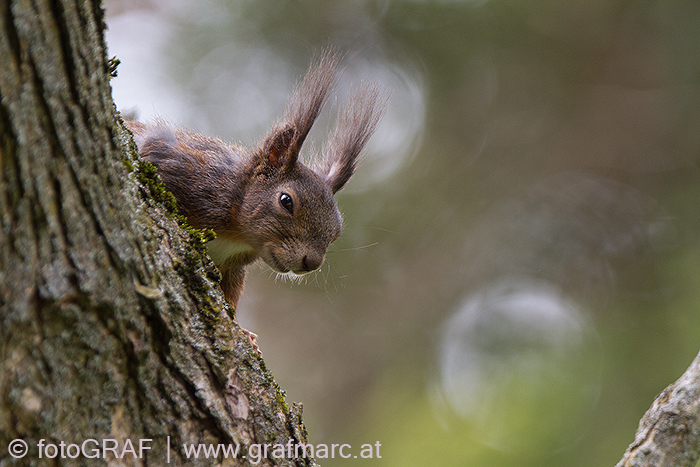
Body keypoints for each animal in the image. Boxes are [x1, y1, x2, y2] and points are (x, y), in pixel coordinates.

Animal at [127, 52, 388, 318]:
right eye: (286, 201)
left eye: (337, 230)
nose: (312, 263)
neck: (236, 233)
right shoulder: (182, 168)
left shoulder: (232, 269)